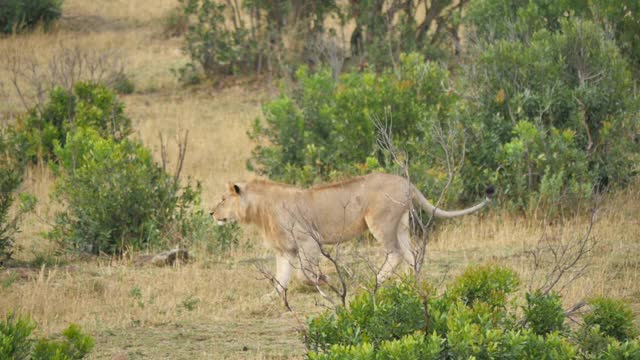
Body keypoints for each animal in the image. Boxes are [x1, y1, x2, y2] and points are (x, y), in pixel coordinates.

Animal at [212, 173, 492, 294]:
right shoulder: (286, 251)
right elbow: (281, 278)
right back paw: (410, 281)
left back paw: (376, 281)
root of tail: (406, 181)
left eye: (223, 199)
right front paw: (273, 297)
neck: (260, 211)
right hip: (400, 224)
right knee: (411, 254)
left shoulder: (309, 241)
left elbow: (304, 274)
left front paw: (324, 279)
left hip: (380, 222)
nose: (211, 212)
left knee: (395, 254)